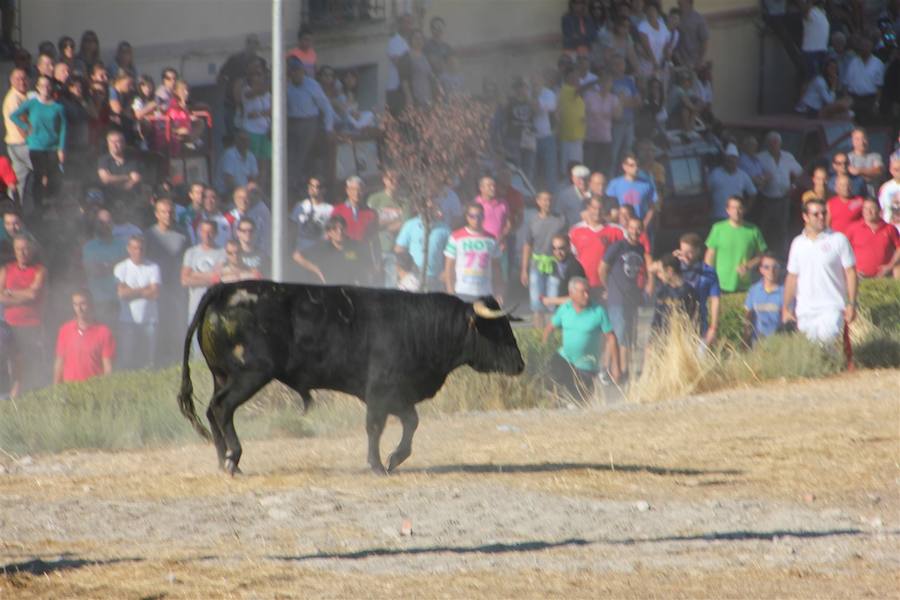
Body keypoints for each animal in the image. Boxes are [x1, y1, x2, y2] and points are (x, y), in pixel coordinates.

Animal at [178, 280, 524, 474]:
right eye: (498, 329)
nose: (520, 364)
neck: (419, 326)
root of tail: (223, 290)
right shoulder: (380, 391)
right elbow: (376, 427)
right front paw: (378, 464)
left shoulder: (397, 395)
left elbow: (410, 423)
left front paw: (395, 458)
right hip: (250, 374)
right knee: (222, 408)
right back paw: (233, 458)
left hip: (223, 375)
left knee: (212, 410)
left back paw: (222, 457)